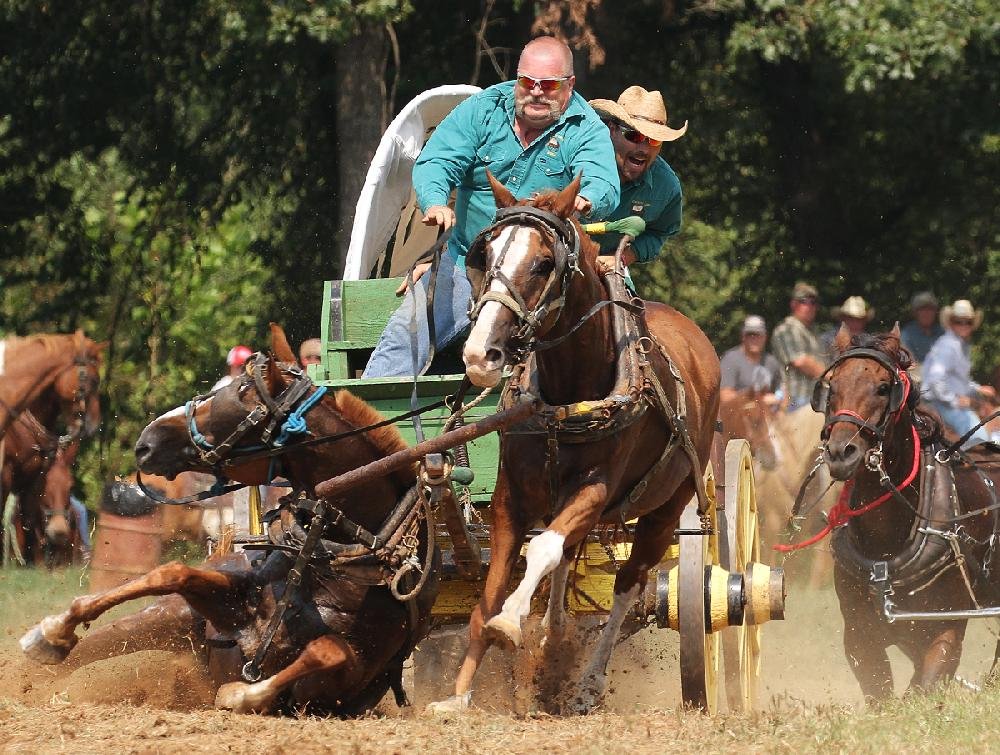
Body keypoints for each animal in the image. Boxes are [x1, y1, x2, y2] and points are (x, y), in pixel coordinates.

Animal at [428, 176, 720, 716]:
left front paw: (512, 621)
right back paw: (553, 633)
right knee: (568, 559)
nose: (479, 354)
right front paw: (458, 697)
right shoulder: (511, 498)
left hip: (667, 508)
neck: (566, 399)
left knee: (629, 584)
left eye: (544, 263)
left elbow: (543, 549)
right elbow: (491, 591)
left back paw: (588, 682)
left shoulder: (595, 492)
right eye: (486, 254)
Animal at [820, 328, 1000, 700]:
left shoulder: (945, 629)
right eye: (832, 386)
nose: (841, 452)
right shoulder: (860, 634)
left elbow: (921, 688)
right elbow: (881, 693)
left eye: (883, 388)